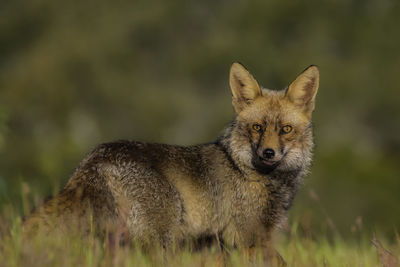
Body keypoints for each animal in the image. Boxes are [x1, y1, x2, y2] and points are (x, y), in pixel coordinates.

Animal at [24, 62, 318, 264]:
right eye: (257, 127)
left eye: (286, 129)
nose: (268, 153)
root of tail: (96, 156)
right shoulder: (248, 236)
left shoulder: (227, 242)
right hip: (160, 241)